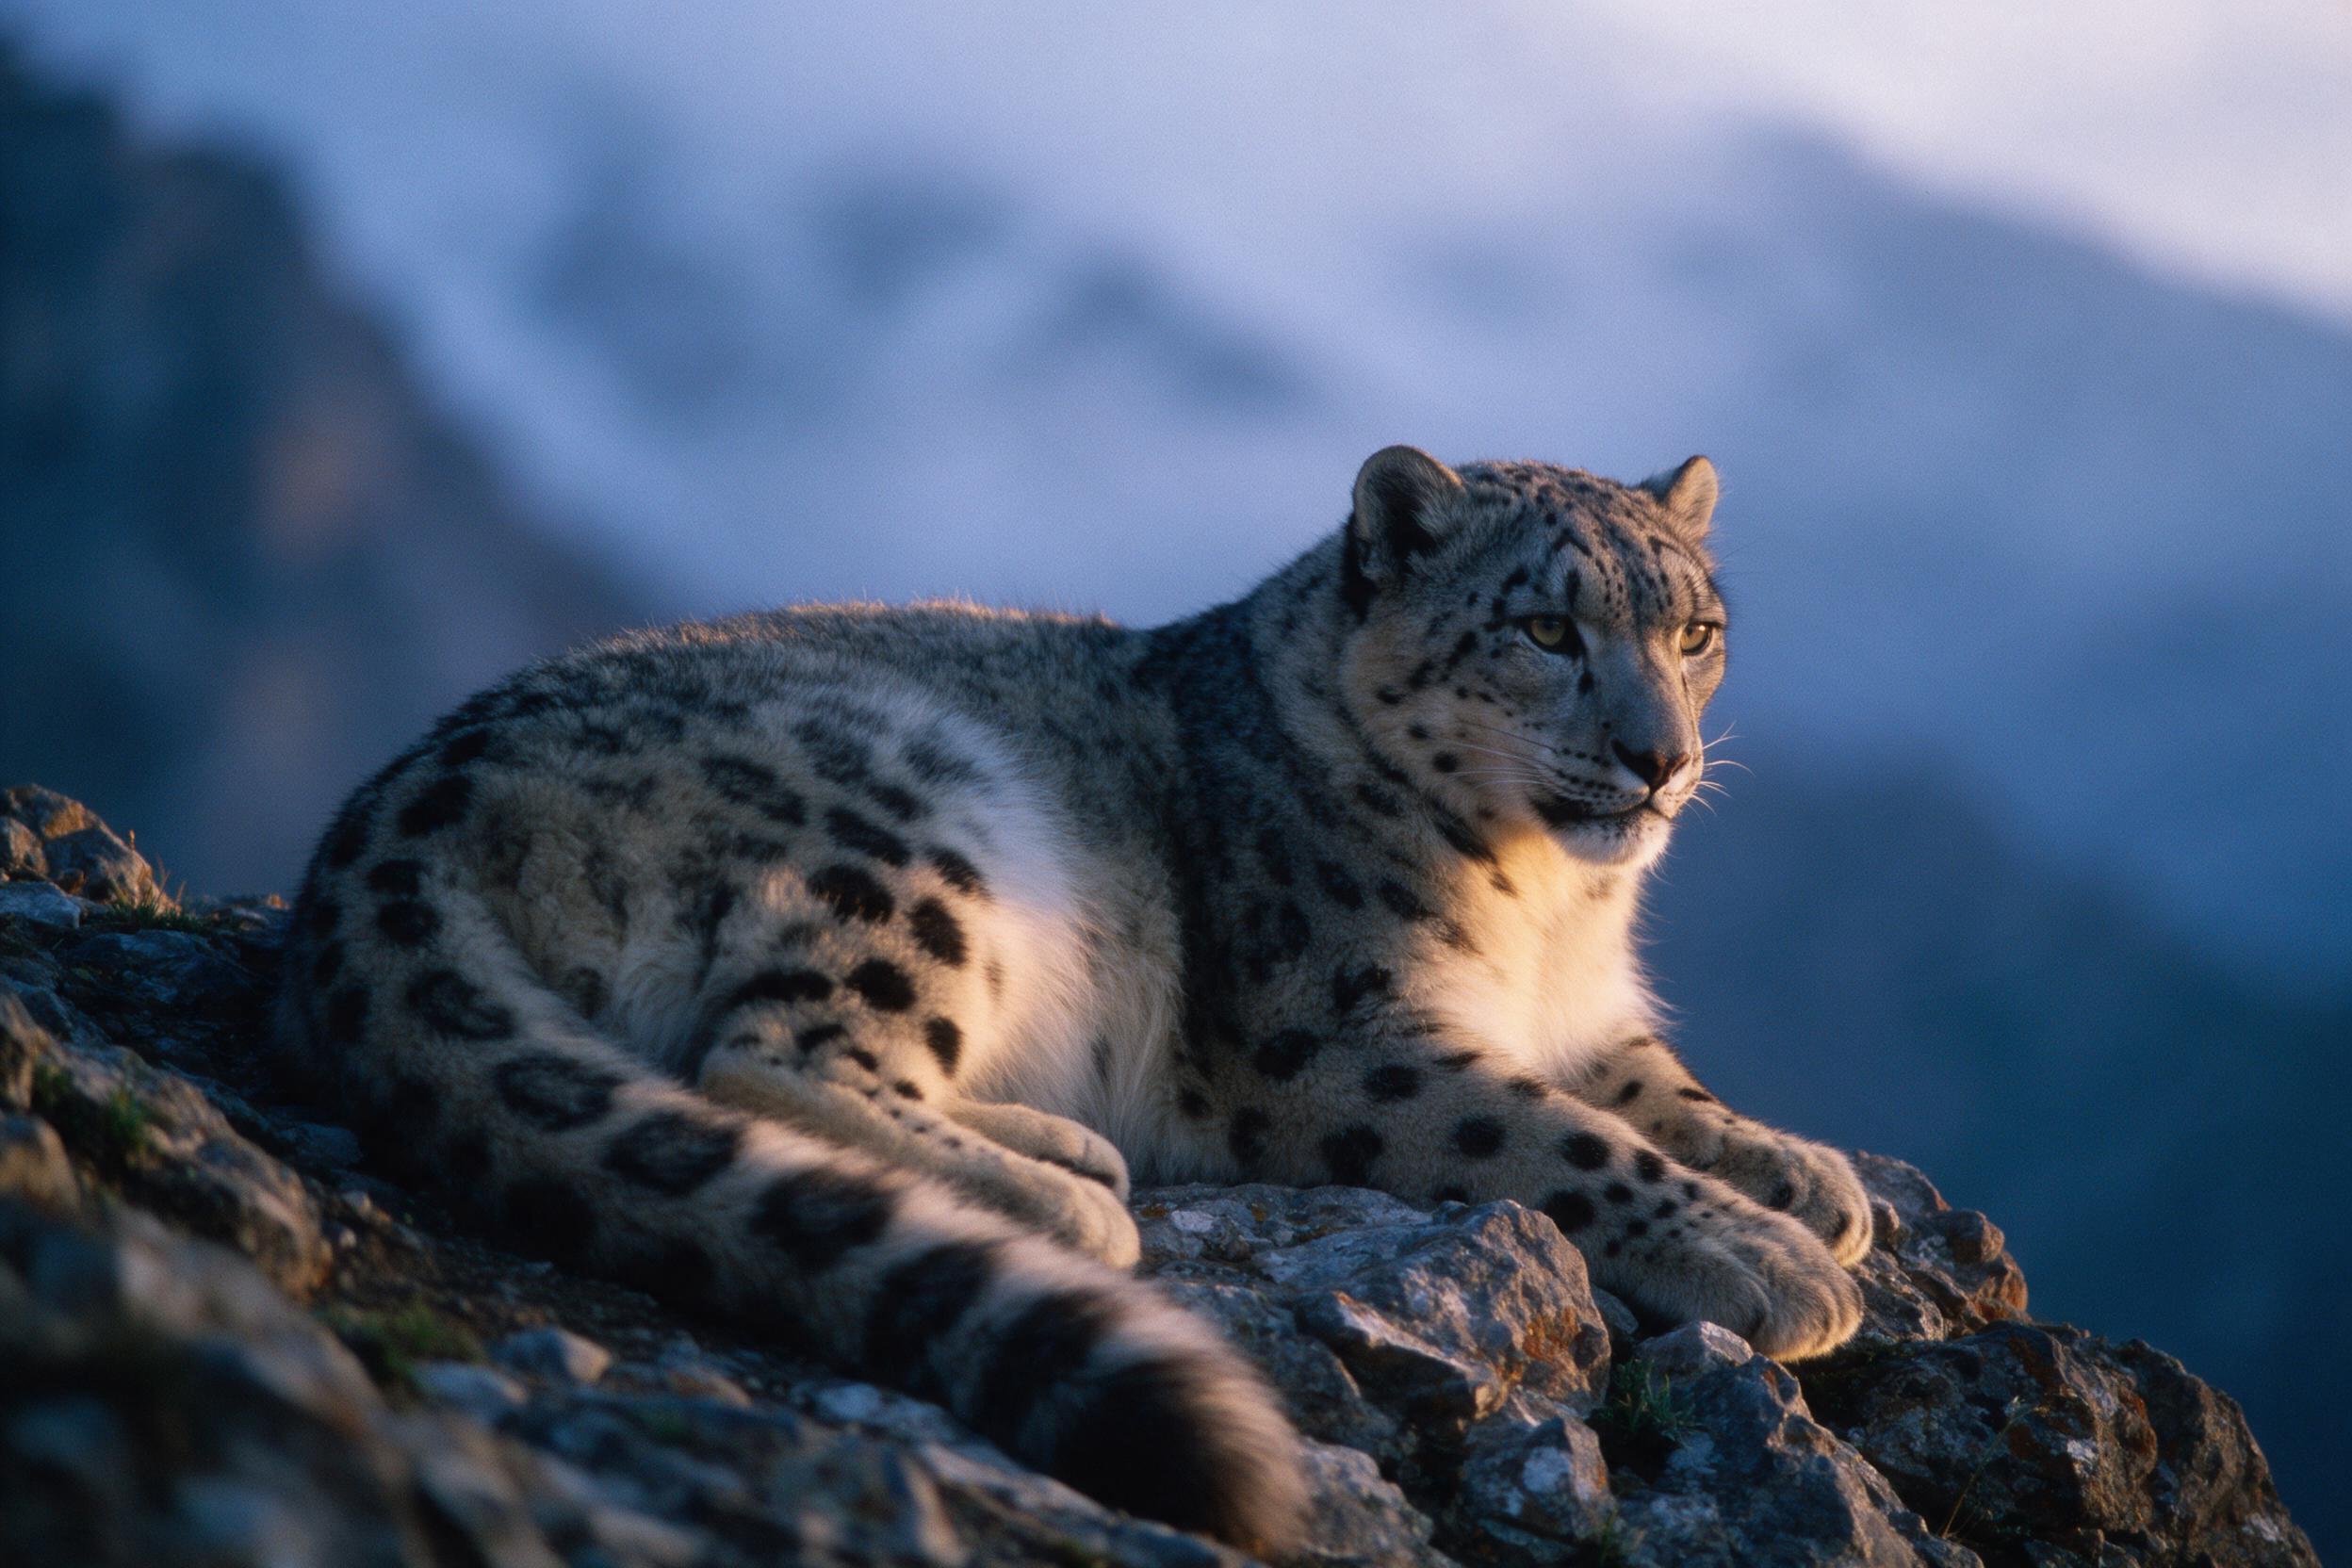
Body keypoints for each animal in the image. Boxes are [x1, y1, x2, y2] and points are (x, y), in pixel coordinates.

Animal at [275, 445, 1872, 1555]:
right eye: (1546, 630)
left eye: (1696, 634)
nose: (1662, 762)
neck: (1549, 919)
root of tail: (399, 793)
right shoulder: (1341, 1040)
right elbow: (1557, 1137)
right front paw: (1774, 1260)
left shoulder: (1582, 1015)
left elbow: (1656, 1090)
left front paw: (1814, 1180)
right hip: (902, 823)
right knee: (765, 1061)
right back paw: (1072, 1201)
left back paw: (1060, 1148)